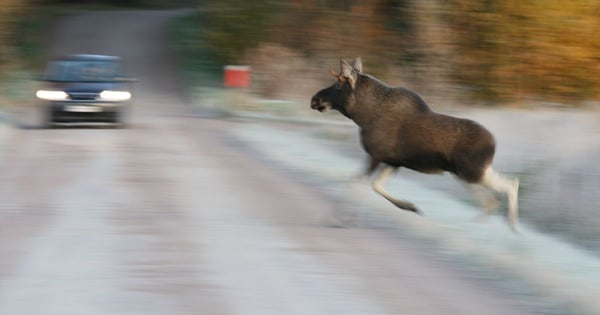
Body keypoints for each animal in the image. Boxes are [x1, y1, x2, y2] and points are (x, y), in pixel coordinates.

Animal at [312, 57, 516, 230]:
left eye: (338, 85)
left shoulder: (376, 156)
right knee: (508, 186)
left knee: (499, 193)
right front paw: (409, 206)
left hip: (468, 172)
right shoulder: (393, 162)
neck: (362, 116)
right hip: (473, 172)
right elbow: (375, 185)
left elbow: (356, 183)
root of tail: (494, 144)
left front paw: (342, 219)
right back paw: (507, 224)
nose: (314, 99)